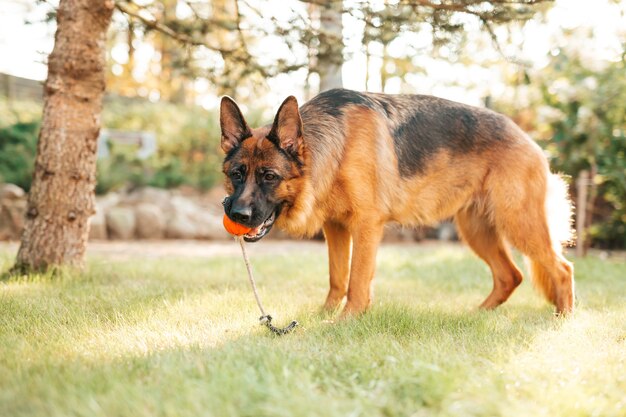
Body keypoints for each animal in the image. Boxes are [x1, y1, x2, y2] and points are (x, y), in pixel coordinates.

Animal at [222, 88, 572, 316]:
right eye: (237, 174)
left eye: (269, 176)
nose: (238, 215)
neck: (337, 144)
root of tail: (528, 138)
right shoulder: (336, 228)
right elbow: (338, 278)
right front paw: (324, 316)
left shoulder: (366, 226)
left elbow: (357, 281)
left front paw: (345, 321)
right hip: (477, 231)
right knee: (510, 276)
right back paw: (476, 315)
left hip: (519, 224)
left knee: (562, 268)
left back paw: (562, 319)